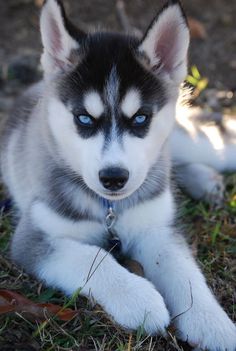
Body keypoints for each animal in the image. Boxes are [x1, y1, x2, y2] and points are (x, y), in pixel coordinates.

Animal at [0, 0, 236, 350]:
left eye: (140, 118)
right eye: (84, 118)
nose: (114, 177)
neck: (110, 207)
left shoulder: (155, 228)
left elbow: (186, 273)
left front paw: (214, 324)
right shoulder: (33, 239)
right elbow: (92, 257)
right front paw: (140, 300)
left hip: (189, 141)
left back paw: (204, 178)